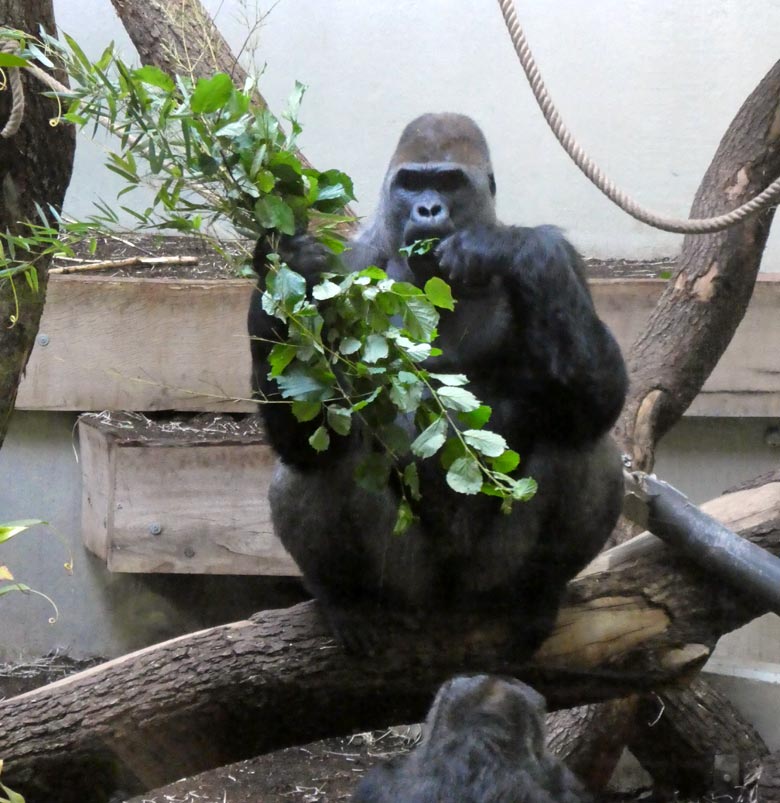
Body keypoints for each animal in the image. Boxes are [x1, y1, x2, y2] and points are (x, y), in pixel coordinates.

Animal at [250, 111, 628, 652]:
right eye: (411, 183)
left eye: (449, 182)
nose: (428, 208)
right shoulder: (346, 267)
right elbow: (307, 427)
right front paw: (281, 265)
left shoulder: (568, 262)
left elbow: (597, 399)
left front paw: (506, 247)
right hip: (409, 583)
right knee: (319, 461)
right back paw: (347, 599)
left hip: (485, 577)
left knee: (580, 439)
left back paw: (535, 593)